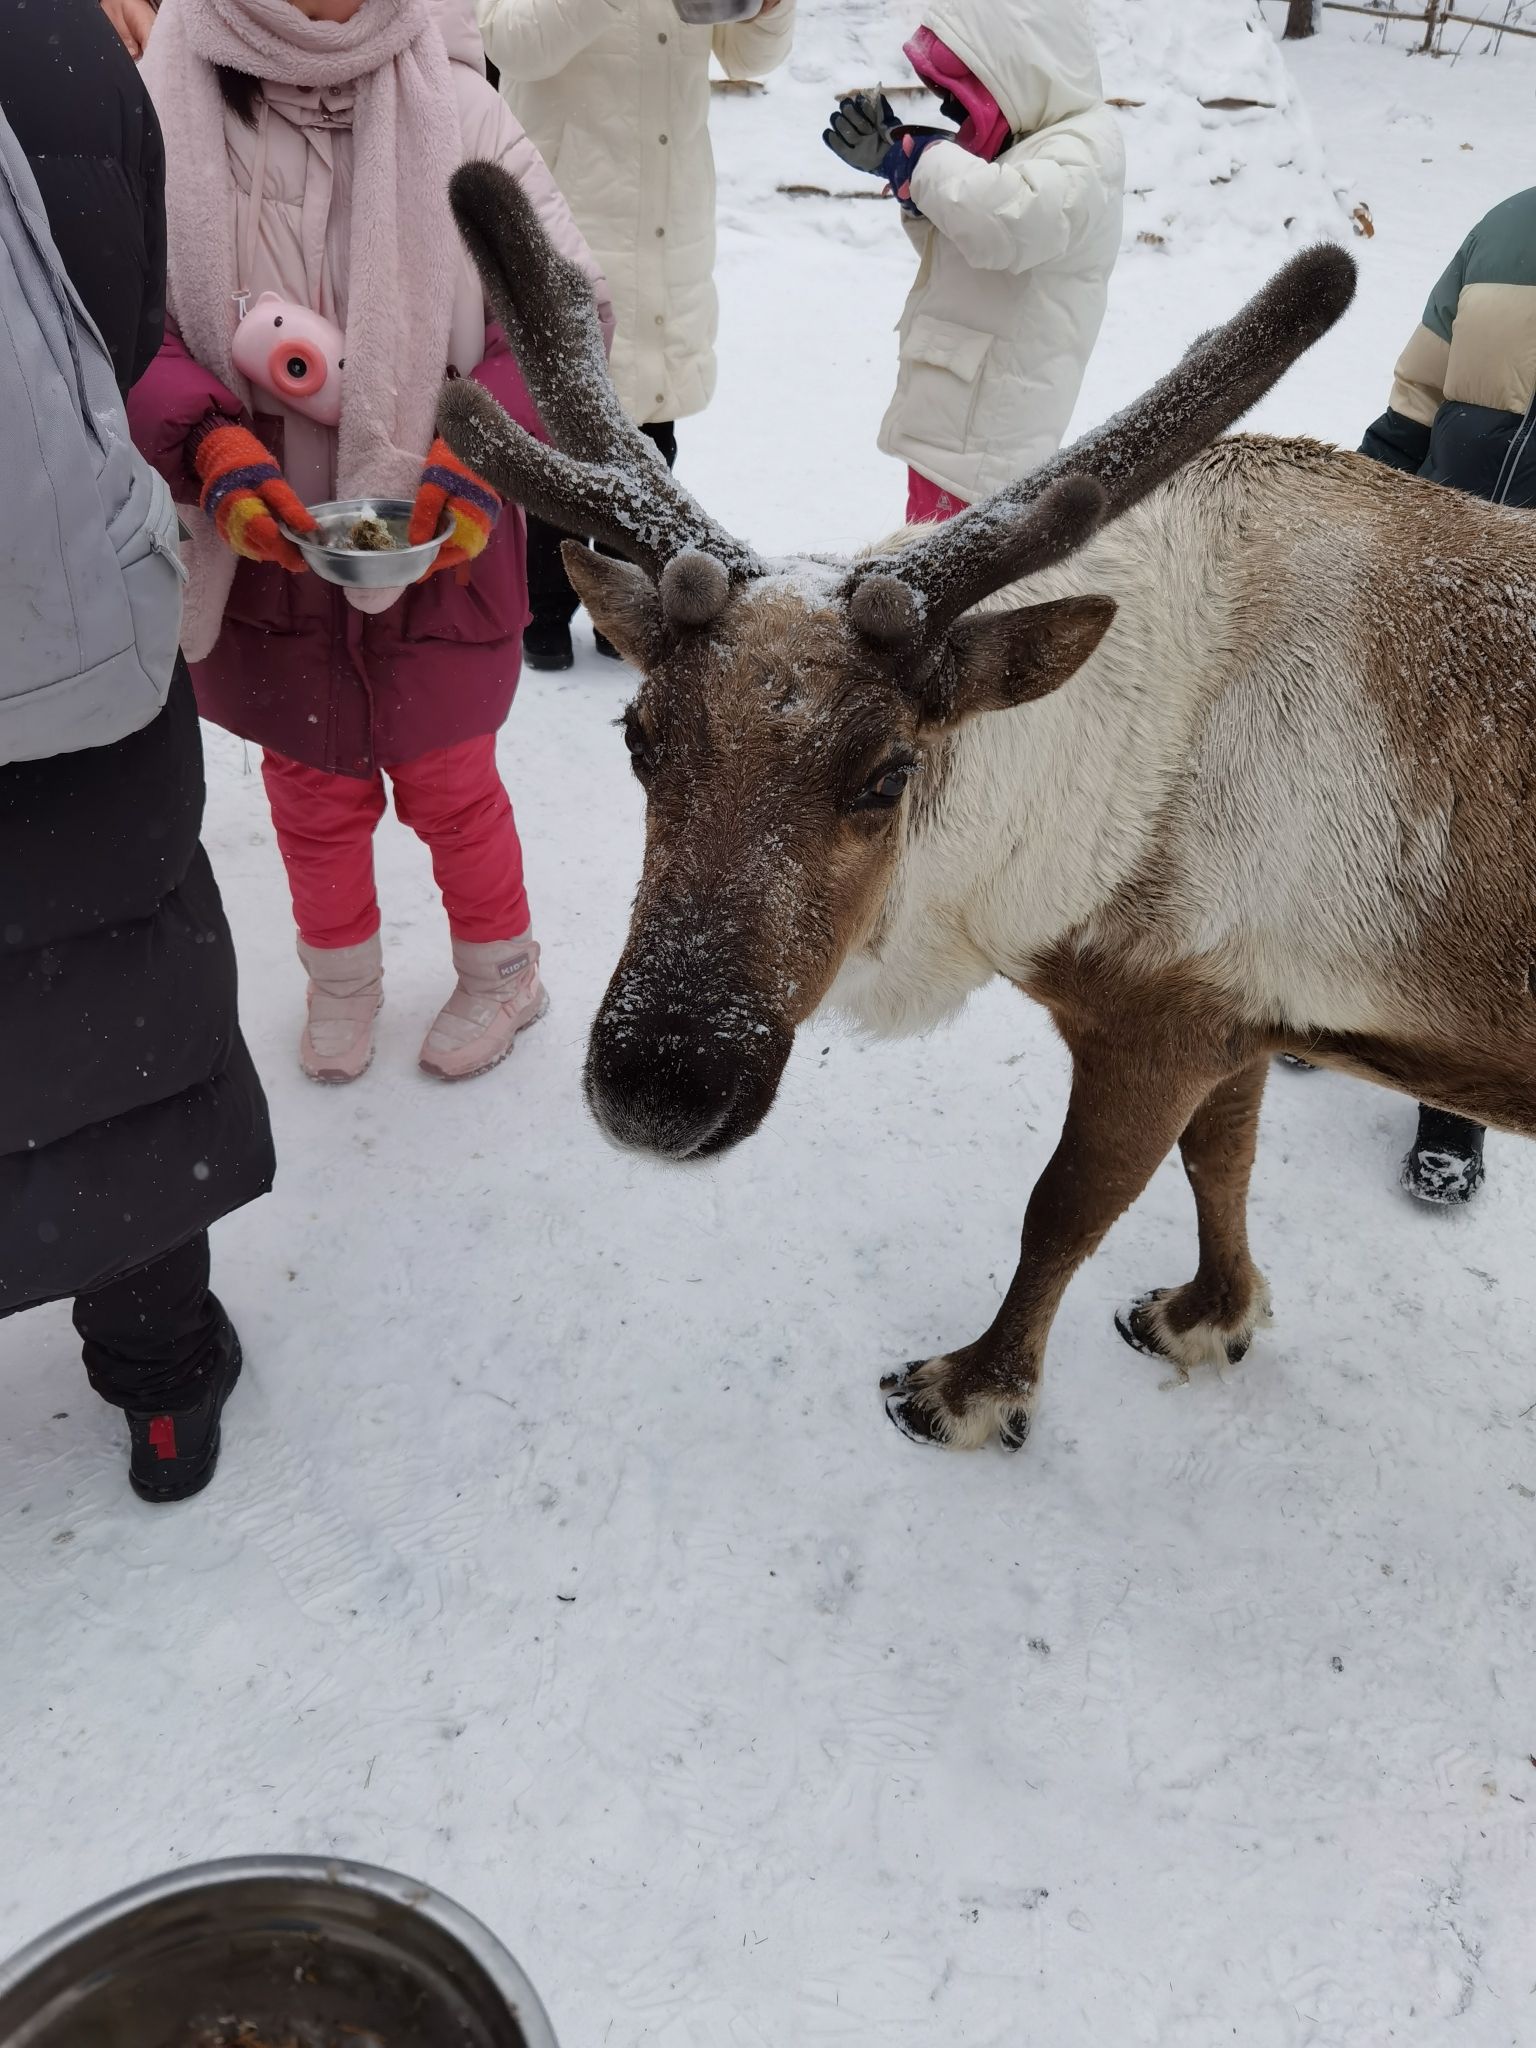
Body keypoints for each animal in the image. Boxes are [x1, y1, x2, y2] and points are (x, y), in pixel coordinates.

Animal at [439, 161, 1536, 1457]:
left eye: (889, 771)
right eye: (638, 739)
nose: (660, 1085)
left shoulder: (1160, 1024)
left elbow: (1064, 1208)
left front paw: (973, 1387)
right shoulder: (1240, 1004)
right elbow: (1224, 1161)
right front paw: (1211, 1314)